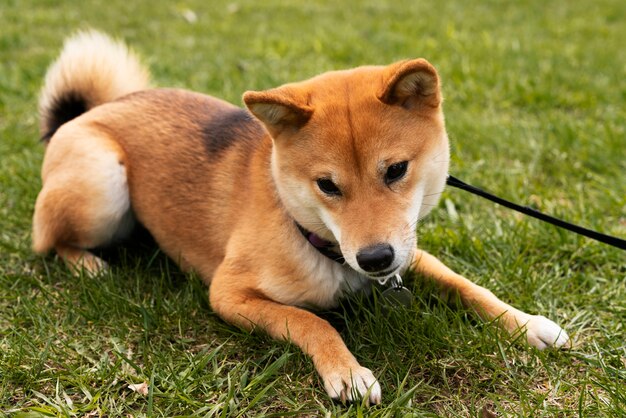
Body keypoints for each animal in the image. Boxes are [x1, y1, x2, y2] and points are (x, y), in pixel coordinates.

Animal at [31, 31, 568, 404]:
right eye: (327, 185)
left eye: (396, 170)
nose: (375, 259)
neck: (318, 242)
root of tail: (93, 110)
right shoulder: (230, 294)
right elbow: (311, 322)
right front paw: (347, 372)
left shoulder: (410, 251)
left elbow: (468, 286)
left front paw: (527, 324)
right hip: (103, 184)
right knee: (48, 240)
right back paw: (88, 265)